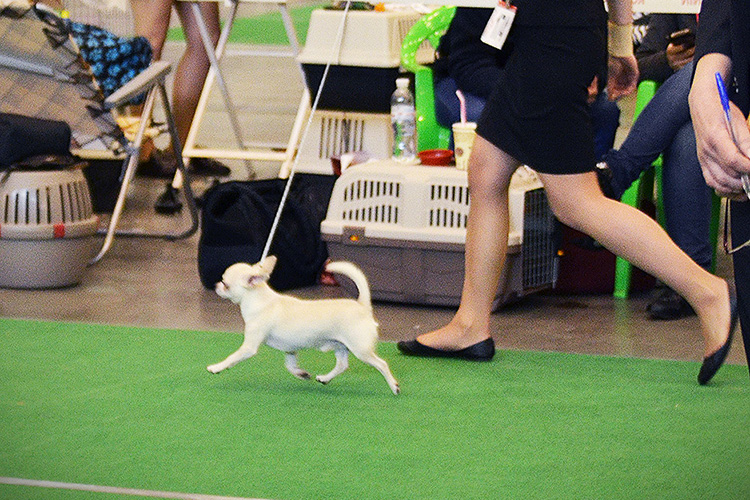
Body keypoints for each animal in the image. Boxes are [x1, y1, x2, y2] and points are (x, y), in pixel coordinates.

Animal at [208, 256, 400, 395]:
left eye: (225, 284)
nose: (216, 285)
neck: (258, 300)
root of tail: (362, 305)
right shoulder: (290, 349)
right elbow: (290, 365)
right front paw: (302, 374)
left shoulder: (249, 347)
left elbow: (233, 357)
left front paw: (216, 367)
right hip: (341, 346)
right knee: (342, 365)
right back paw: (325, 378)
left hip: (361, 349)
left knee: (382, 364)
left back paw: (394, 386)